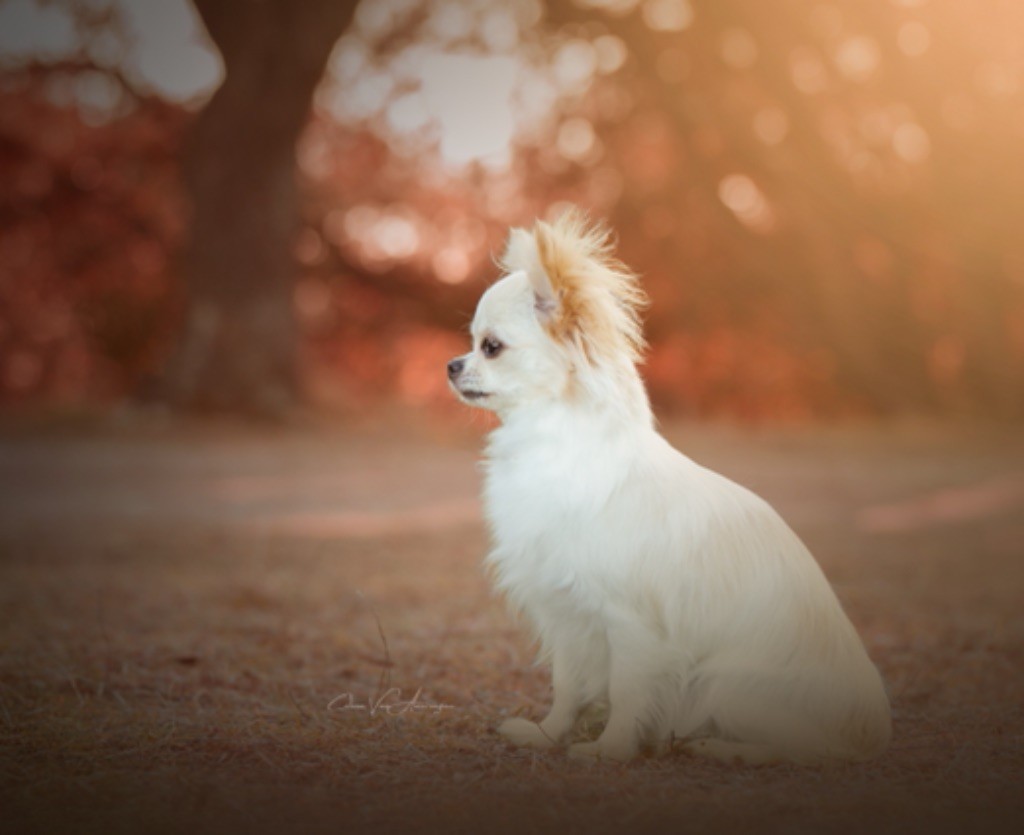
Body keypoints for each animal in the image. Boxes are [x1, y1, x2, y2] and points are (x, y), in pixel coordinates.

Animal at [448, 211, 888, 762]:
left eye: (491, 347)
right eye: (472, 345)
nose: (451, 365)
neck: (554, 445)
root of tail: (871, 729)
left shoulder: (632, 625)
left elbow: (626, 692)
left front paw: (609, 750)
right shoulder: (568, 614)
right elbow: (568, 688)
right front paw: (548, 735)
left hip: (726, 683)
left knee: (808, 748)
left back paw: (724, 748)